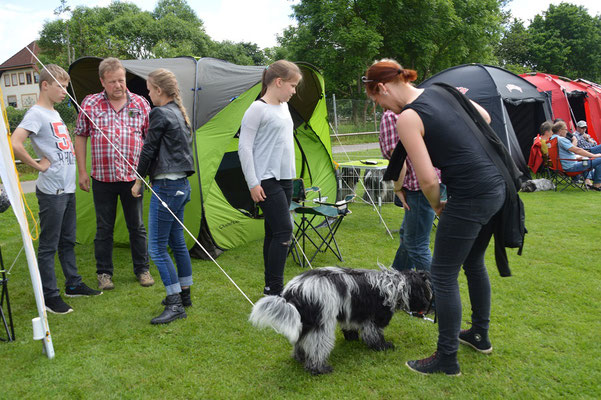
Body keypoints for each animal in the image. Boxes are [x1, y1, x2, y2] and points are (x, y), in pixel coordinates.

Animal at [248, 266, 432, 376]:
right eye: (425, 292)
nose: (427, 307)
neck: (394, 284)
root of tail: (295, 290)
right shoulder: (373, 318)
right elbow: (374, 334)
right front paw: (383, 346)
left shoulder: (353, 312)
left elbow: (351, 327)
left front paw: (352, 338)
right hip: (322, 323)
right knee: (317, 347)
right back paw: (319, 368)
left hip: (306, 322)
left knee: (301, 341)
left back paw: (300, 357)